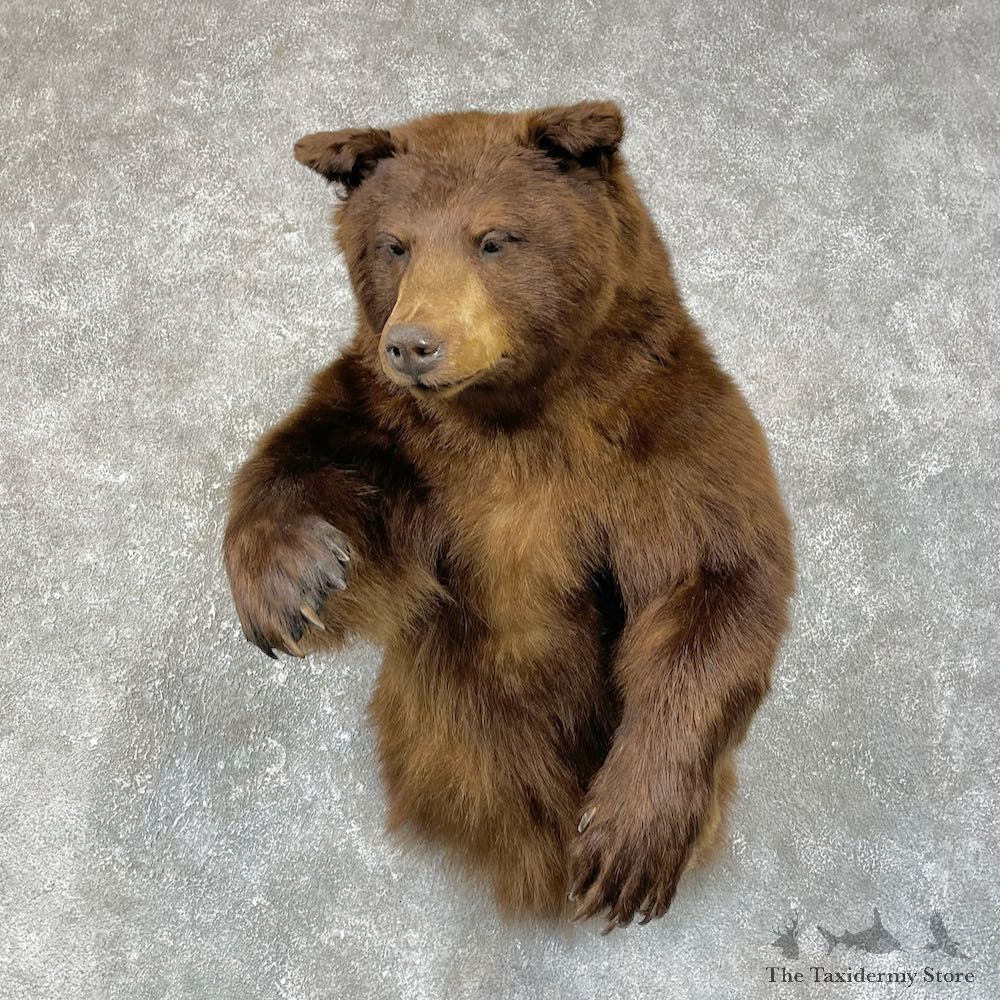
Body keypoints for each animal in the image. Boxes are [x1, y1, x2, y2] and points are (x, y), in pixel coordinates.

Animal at [223, 101, 794, 932]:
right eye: (394, 243)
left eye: (493, 238)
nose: (413, 344)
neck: (516, 416)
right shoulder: (408, 446)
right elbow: (315, 468)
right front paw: (293, 583)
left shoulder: (669, 441)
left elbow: (713, 583)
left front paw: (626, 848)